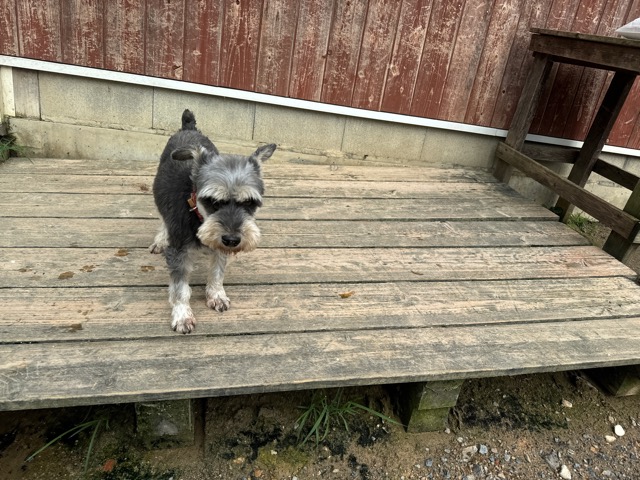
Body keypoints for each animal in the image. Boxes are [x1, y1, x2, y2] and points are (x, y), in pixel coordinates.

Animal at [150, 109, 276, 333]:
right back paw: (160, 239)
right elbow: (180, 288)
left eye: (249, 202)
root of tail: (188, 128)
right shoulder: (178, 252)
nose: (233, 240)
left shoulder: (221, 248)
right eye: (213, 201)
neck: (198, 216)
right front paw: (182, 315)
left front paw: (217, 295)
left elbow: (217, 272)